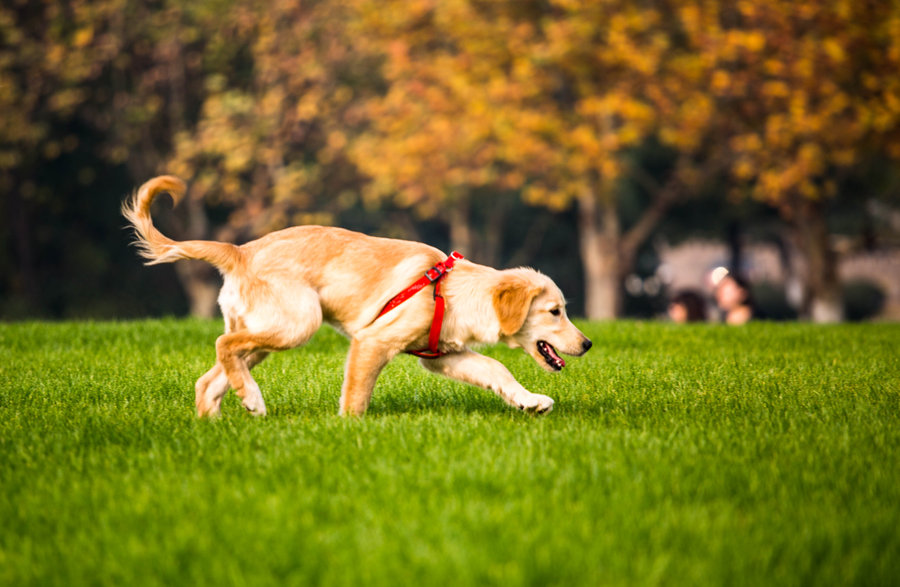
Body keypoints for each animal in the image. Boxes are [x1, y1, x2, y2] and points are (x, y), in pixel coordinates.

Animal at [125, 176, 592, 418]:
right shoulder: (372, 341)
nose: (588, 344)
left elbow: (497, 369)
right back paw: (253, 400)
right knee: (224, 346)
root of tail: (240, 250)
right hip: (298, 322)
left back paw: (221, 421)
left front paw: (530, 401)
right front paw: (350, 431)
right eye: (555, 311)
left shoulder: (445, 356)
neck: (450, 291)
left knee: (211, 376)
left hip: (265, 330)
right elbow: (356, 396)